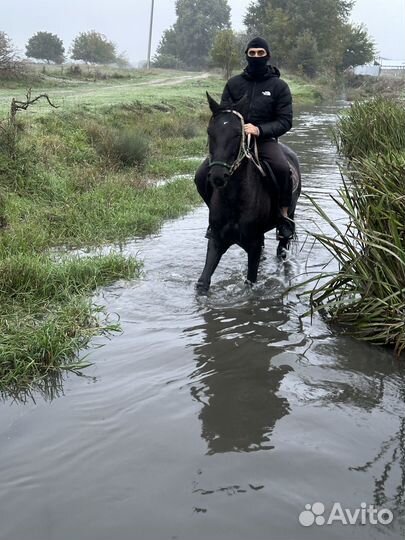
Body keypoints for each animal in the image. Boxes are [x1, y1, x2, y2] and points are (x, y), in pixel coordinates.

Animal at [194, 93, 302, 296]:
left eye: (238, 134)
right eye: (210, 132)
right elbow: (203, 282)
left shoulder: (253, 245)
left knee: (282, 250)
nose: (218, 176)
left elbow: (250, 283)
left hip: (287, 220)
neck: (234, 199)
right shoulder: (217, 241)